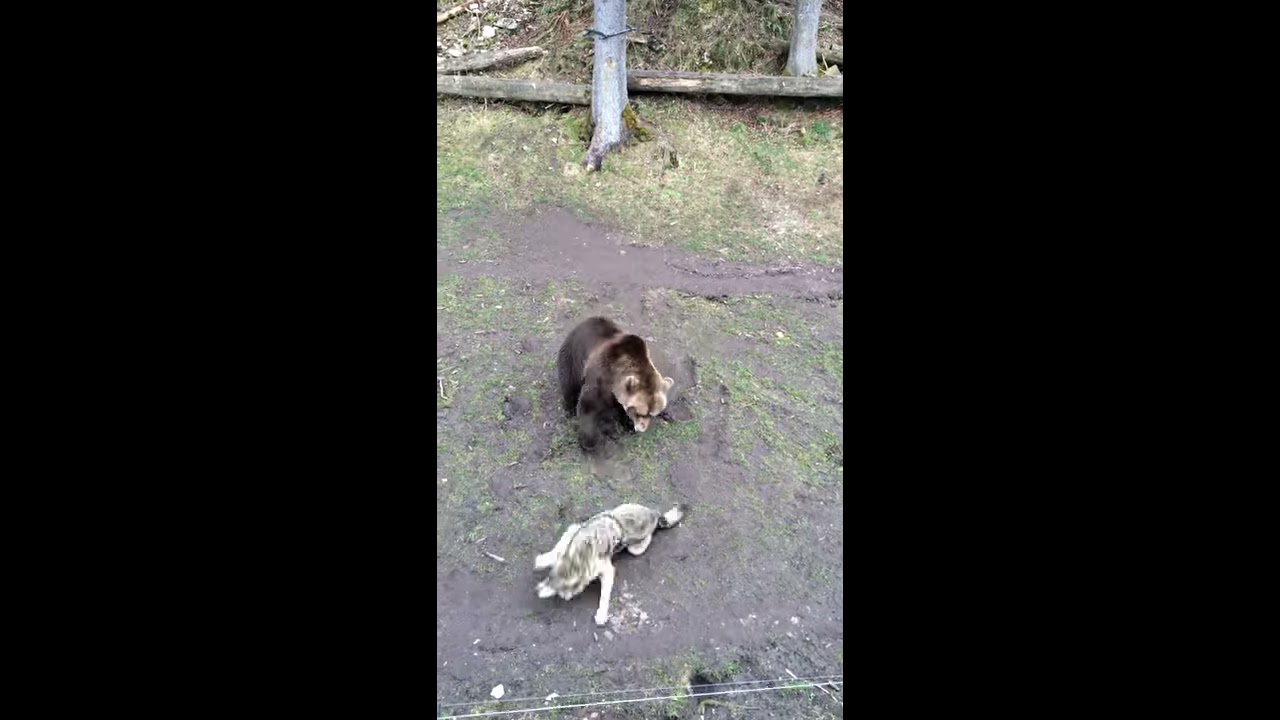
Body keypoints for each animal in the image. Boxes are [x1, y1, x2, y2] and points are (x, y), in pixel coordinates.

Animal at [535, 503, 684, 626]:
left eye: (562, 592)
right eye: (548, 578)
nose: (537, 590)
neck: (580, 556)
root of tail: (654, 514)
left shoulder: (607, 570)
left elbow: (604, 596)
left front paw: (602, 613)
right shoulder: (573, 529)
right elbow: (557, 549)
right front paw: (544, 559)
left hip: (635, 548)